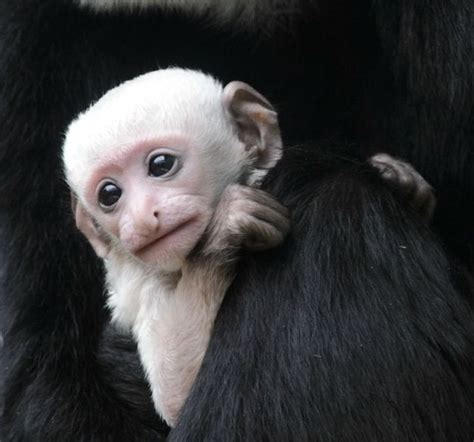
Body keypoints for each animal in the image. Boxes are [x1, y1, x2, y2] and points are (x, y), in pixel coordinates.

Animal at [61, 67, 436, 426]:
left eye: (160, 165)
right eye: (110, 195)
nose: (140, 220)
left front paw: (398, 177)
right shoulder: (144, 284)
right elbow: (177, 392)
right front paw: (226, 228)